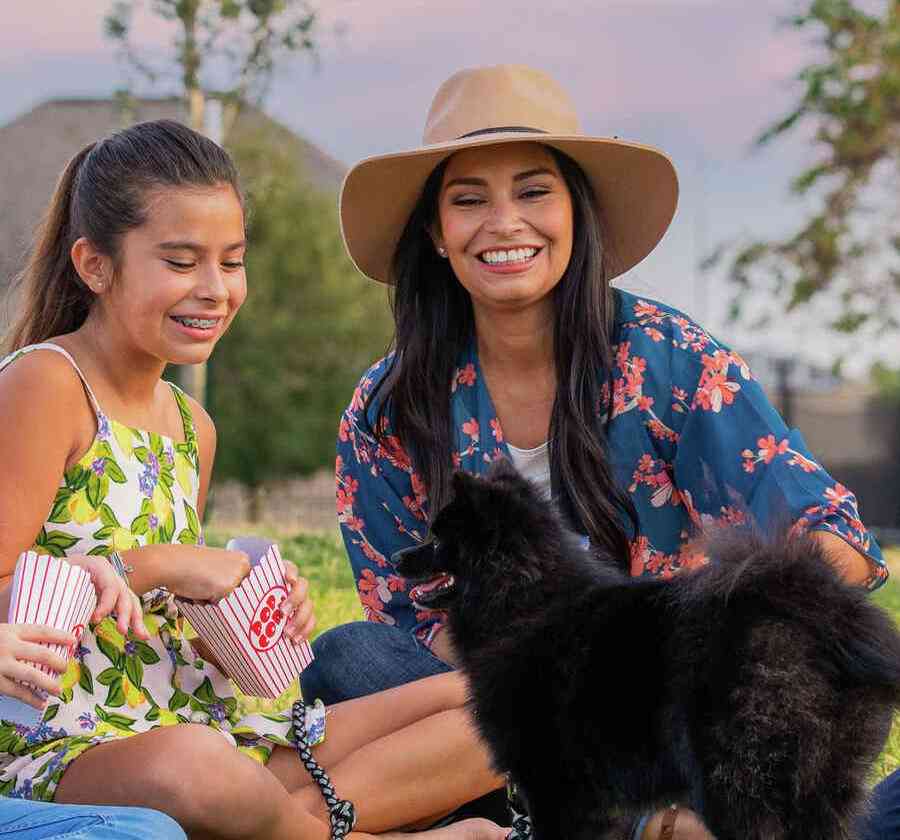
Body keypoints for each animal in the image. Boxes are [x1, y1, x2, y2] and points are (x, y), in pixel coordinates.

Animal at [396, 460, 900, 840]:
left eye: (437, 540)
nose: (399, 557)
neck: (525, 602)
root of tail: (822, 616)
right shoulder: (596, 803)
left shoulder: (553, 786)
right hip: (823, 788)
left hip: (739, 785)